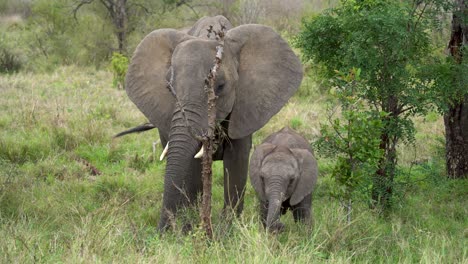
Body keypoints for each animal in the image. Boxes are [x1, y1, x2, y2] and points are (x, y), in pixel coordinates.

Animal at [124, 16, 302, 231]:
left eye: (221, 86)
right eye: (169, 86)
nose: (162, 232)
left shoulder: (245, 108)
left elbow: (236, 163)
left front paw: (227, 230)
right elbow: (191, 167)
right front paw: (190, 229)